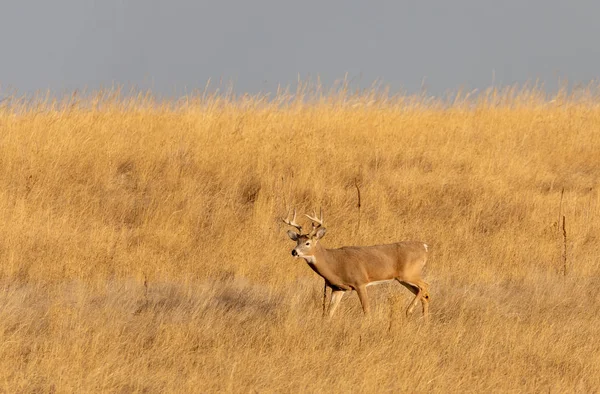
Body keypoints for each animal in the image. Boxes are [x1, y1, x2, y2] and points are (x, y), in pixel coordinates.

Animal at [284, 211, 428, 318]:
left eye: (307, 243)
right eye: (297, 241)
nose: (294, 252)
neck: (334, 263)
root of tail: (425, 247)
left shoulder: (360, 282)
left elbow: (366, 309)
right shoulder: (338, 288)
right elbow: (330, 312)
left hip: (409, 273)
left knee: (425, 286)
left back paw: (409, 310)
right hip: (403, 279)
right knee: (423, 293)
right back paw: (423, 318)